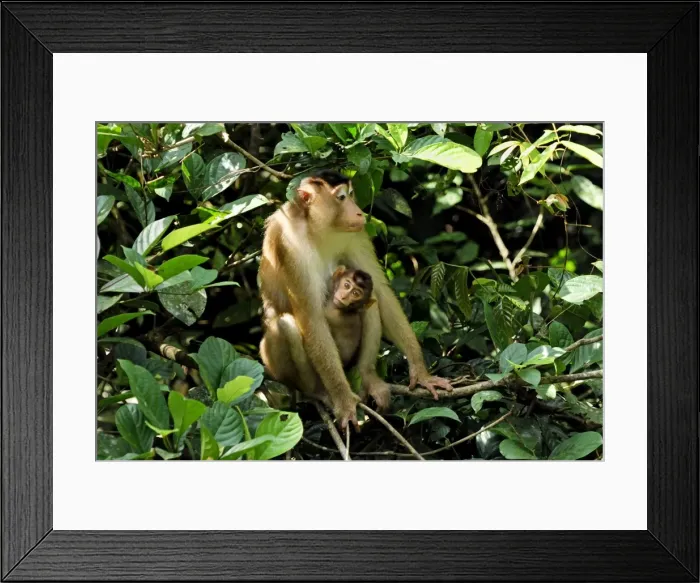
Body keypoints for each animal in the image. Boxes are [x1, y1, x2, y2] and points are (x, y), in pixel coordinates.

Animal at [259, 169, 453, 430]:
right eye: (341, 197)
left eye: (351, 195)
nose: (359, 212)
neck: (317, 228)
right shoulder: (287, 244)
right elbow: (310, 317)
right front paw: (343, 401)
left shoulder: (355, 234)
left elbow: (381, 291)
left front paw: (422, 374)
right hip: (274, 365)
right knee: (286, 324)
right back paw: (319, 392)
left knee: (373, 303)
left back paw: (368, 376)